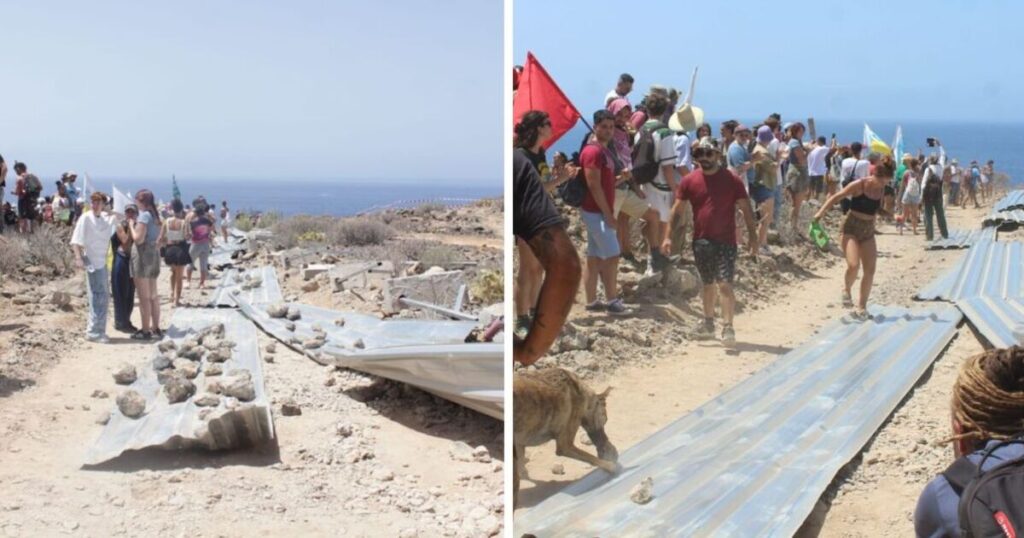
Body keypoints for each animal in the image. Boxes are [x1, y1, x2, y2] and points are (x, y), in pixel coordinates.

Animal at [512, 366, 614, 506]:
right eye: (605, 420)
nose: (612, 450)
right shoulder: (565, 446)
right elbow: (591, 457)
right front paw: (610, 465)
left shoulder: (519, 444)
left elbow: (522, 470)